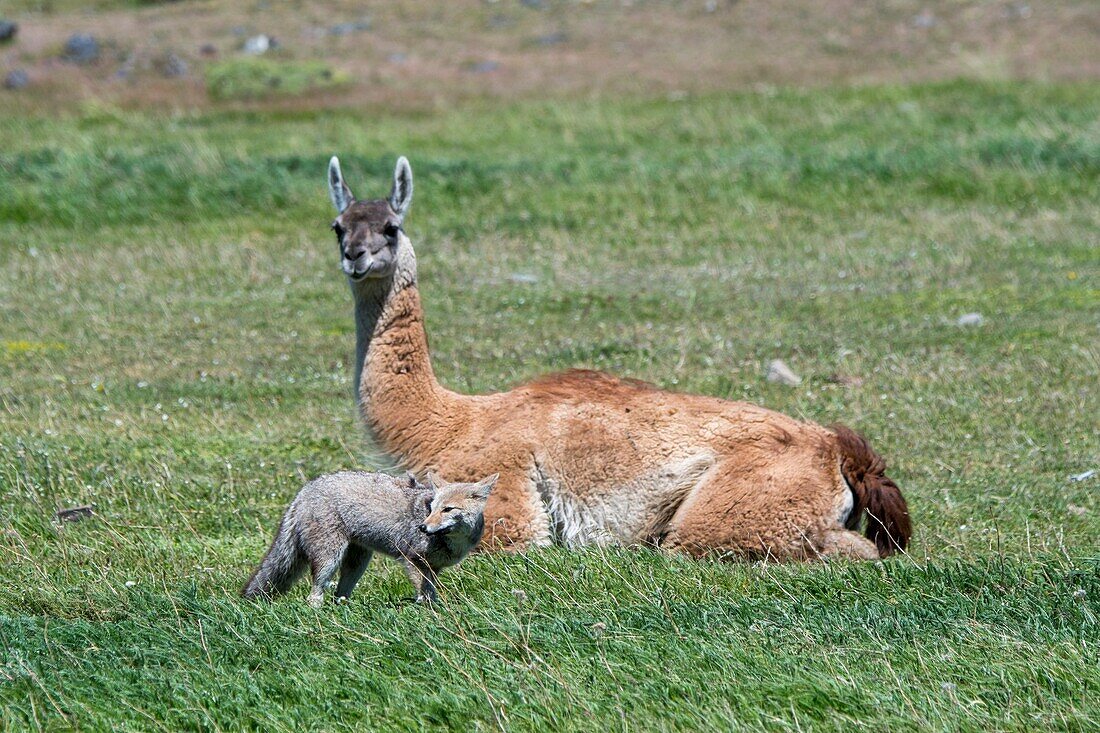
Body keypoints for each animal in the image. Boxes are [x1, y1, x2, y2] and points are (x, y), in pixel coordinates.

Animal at [245, 468, 499, 603]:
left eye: (447, 509)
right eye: (431, 509)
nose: (423, 528)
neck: (452, 542)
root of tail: (306, 488)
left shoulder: (433, 568)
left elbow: (431, 593)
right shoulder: (412, 560)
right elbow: (425, 596)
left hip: (357, 564)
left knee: (339, 595)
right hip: (330, 560)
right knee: (315, 596)